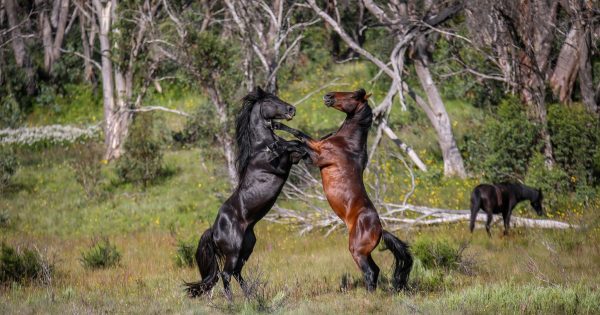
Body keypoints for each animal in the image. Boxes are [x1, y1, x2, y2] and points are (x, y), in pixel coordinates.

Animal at [184, 87, 308, 300]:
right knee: (226, 274)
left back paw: (252, 296)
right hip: (233, 251)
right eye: (271, 101)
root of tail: (214, 230)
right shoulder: (280, 163)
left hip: (247, 247)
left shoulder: (294, 158)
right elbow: (292, 144)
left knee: (236, 273)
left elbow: (298, 144)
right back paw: (232, 301)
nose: (292, 109)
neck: (262, 146)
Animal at [276, 88, 412, 292]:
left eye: (353, 96)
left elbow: (299, 137)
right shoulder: (313, 154)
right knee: (375, 270)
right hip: (364, 252)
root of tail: (380, 230)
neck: (347, 143)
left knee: (369, 271)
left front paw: (277, 130)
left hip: (356, 250)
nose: (328, 96)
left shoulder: (318, 154)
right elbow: (299, 141)